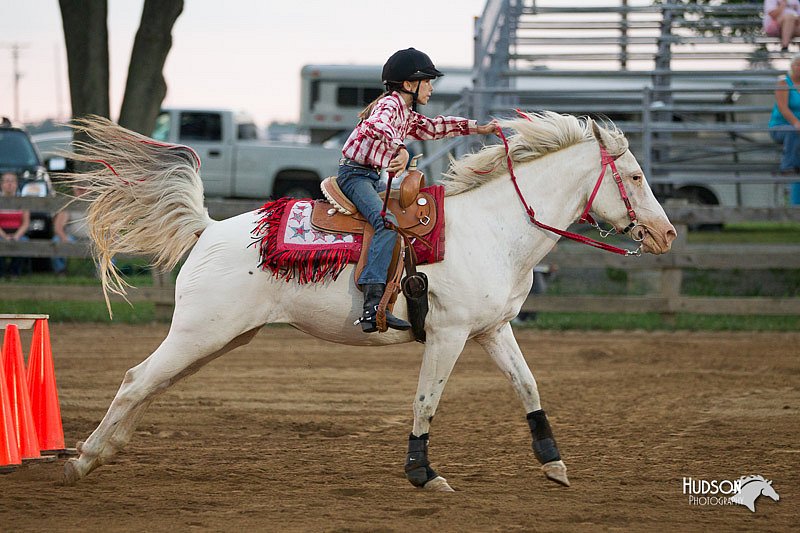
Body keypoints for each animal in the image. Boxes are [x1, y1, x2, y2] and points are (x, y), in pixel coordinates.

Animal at [62, 111, 676, 490]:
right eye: (635, 176)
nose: (667, 234)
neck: (494, 227)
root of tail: (209, 229)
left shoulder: (491, 330)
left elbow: (528, 387)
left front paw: (554, 464)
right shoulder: (449, 334)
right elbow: (426, 402)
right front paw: (423, 474)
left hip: (219, 337)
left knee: (152, 383)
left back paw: (107, 449)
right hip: (201, 332)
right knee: (137, 379)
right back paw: (84, 459)